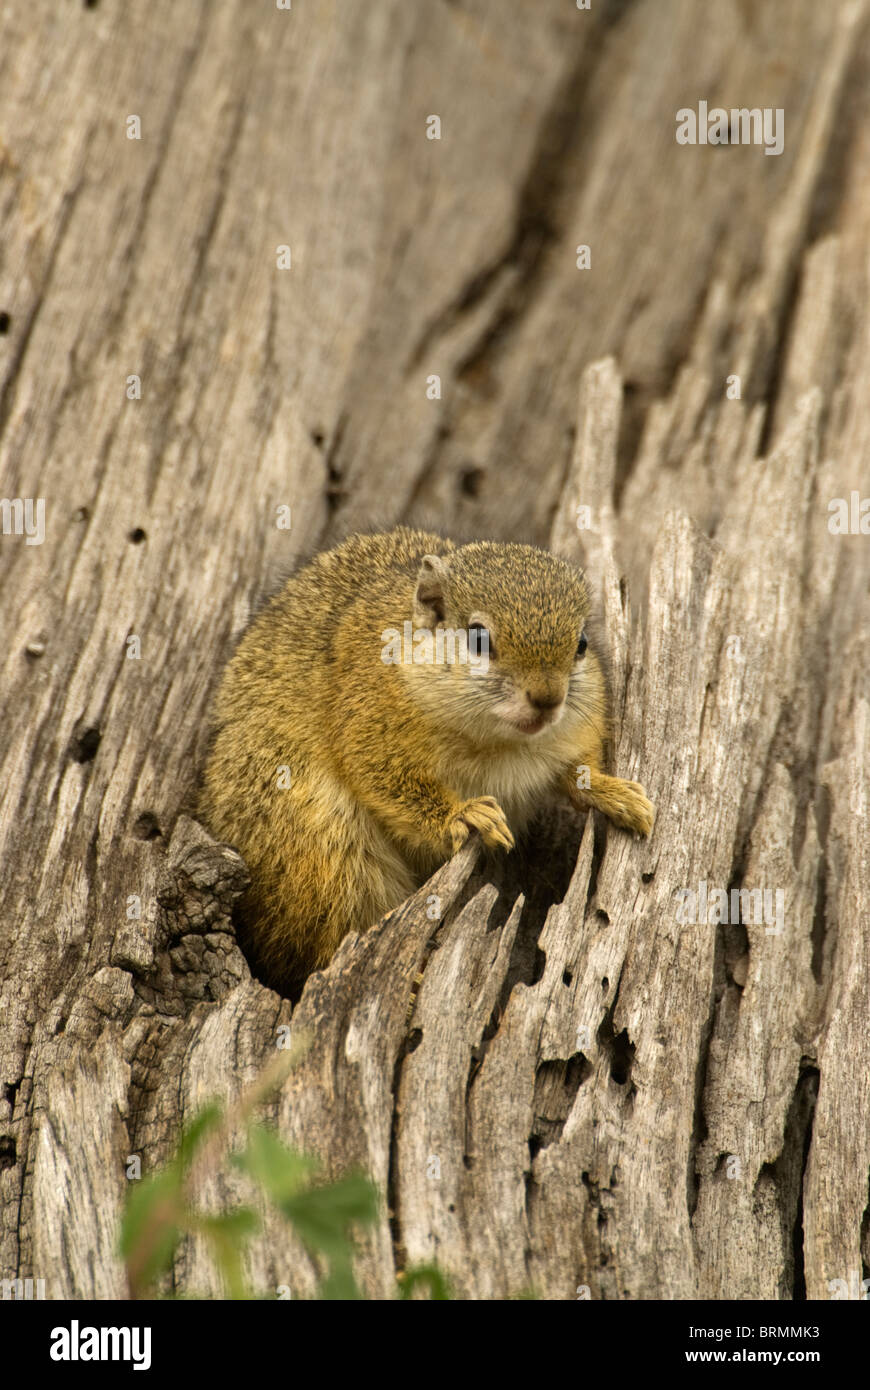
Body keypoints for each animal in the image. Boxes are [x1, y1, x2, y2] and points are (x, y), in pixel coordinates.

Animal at [199, 527, 654, 996]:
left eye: (581, 645)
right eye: (478, 638)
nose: (548, 700)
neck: (500, 743)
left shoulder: (575, 727)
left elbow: (578, 770)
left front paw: (613, 793)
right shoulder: (368, 723)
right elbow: (389, 782)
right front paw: (465, 815)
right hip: (317, 845)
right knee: (321, 946)